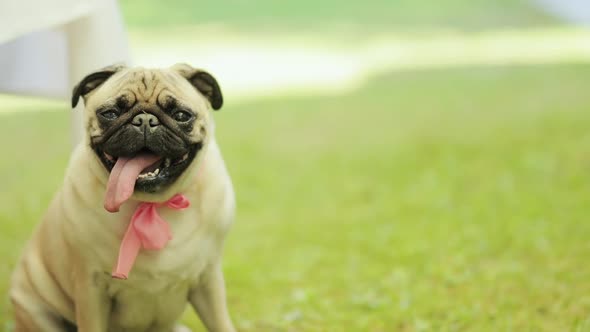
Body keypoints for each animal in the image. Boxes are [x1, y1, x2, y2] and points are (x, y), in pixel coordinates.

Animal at [9, 63, 236, 330]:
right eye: (110, 113)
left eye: (181, 115)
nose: (145, 120)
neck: (151, 204)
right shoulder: (90, 288)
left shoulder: (208, 278)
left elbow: (221, 323)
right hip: (34, 309)